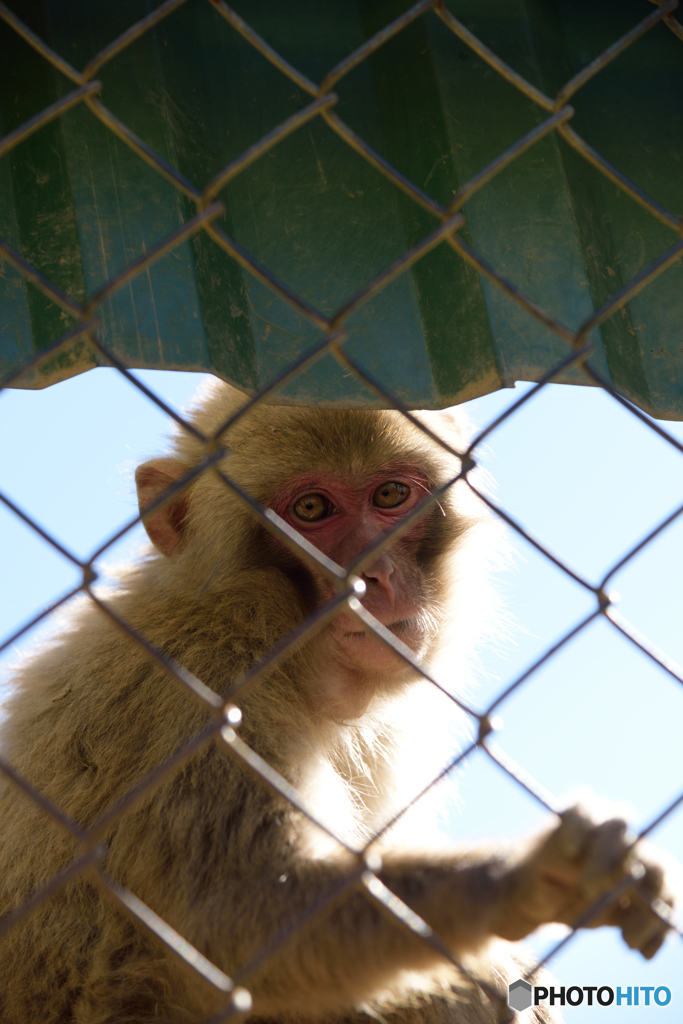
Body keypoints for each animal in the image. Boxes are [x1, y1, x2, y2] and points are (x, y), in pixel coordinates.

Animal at [0, 382, 675, 1024]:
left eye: (391, 496)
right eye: (311, 510)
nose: (373, 574)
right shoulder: (201, 690)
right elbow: (236, 917)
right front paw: (515, 882)